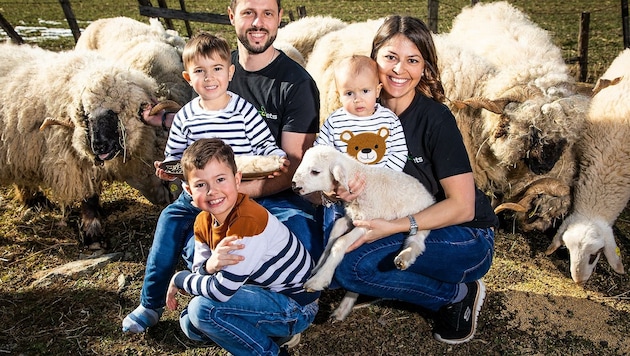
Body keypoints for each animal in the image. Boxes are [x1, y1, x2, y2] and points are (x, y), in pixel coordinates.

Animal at [0, 42, 173, 248]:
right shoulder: (74, 162)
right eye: (87, 115)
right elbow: (88, 196)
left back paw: (35, 201)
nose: (99, 147)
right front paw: (93, 233)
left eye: (114, 112)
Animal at [294, 145, 436, 320]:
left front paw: (319, 279)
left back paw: (404, 258)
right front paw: (318, 267)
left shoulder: (368, 222)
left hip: (419, 220)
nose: (294, 187)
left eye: (315, 172)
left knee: (417, 243)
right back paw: (343, 309)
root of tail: (430, 198)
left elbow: (340, 242)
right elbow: (334, 234)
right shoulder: (351, 218)